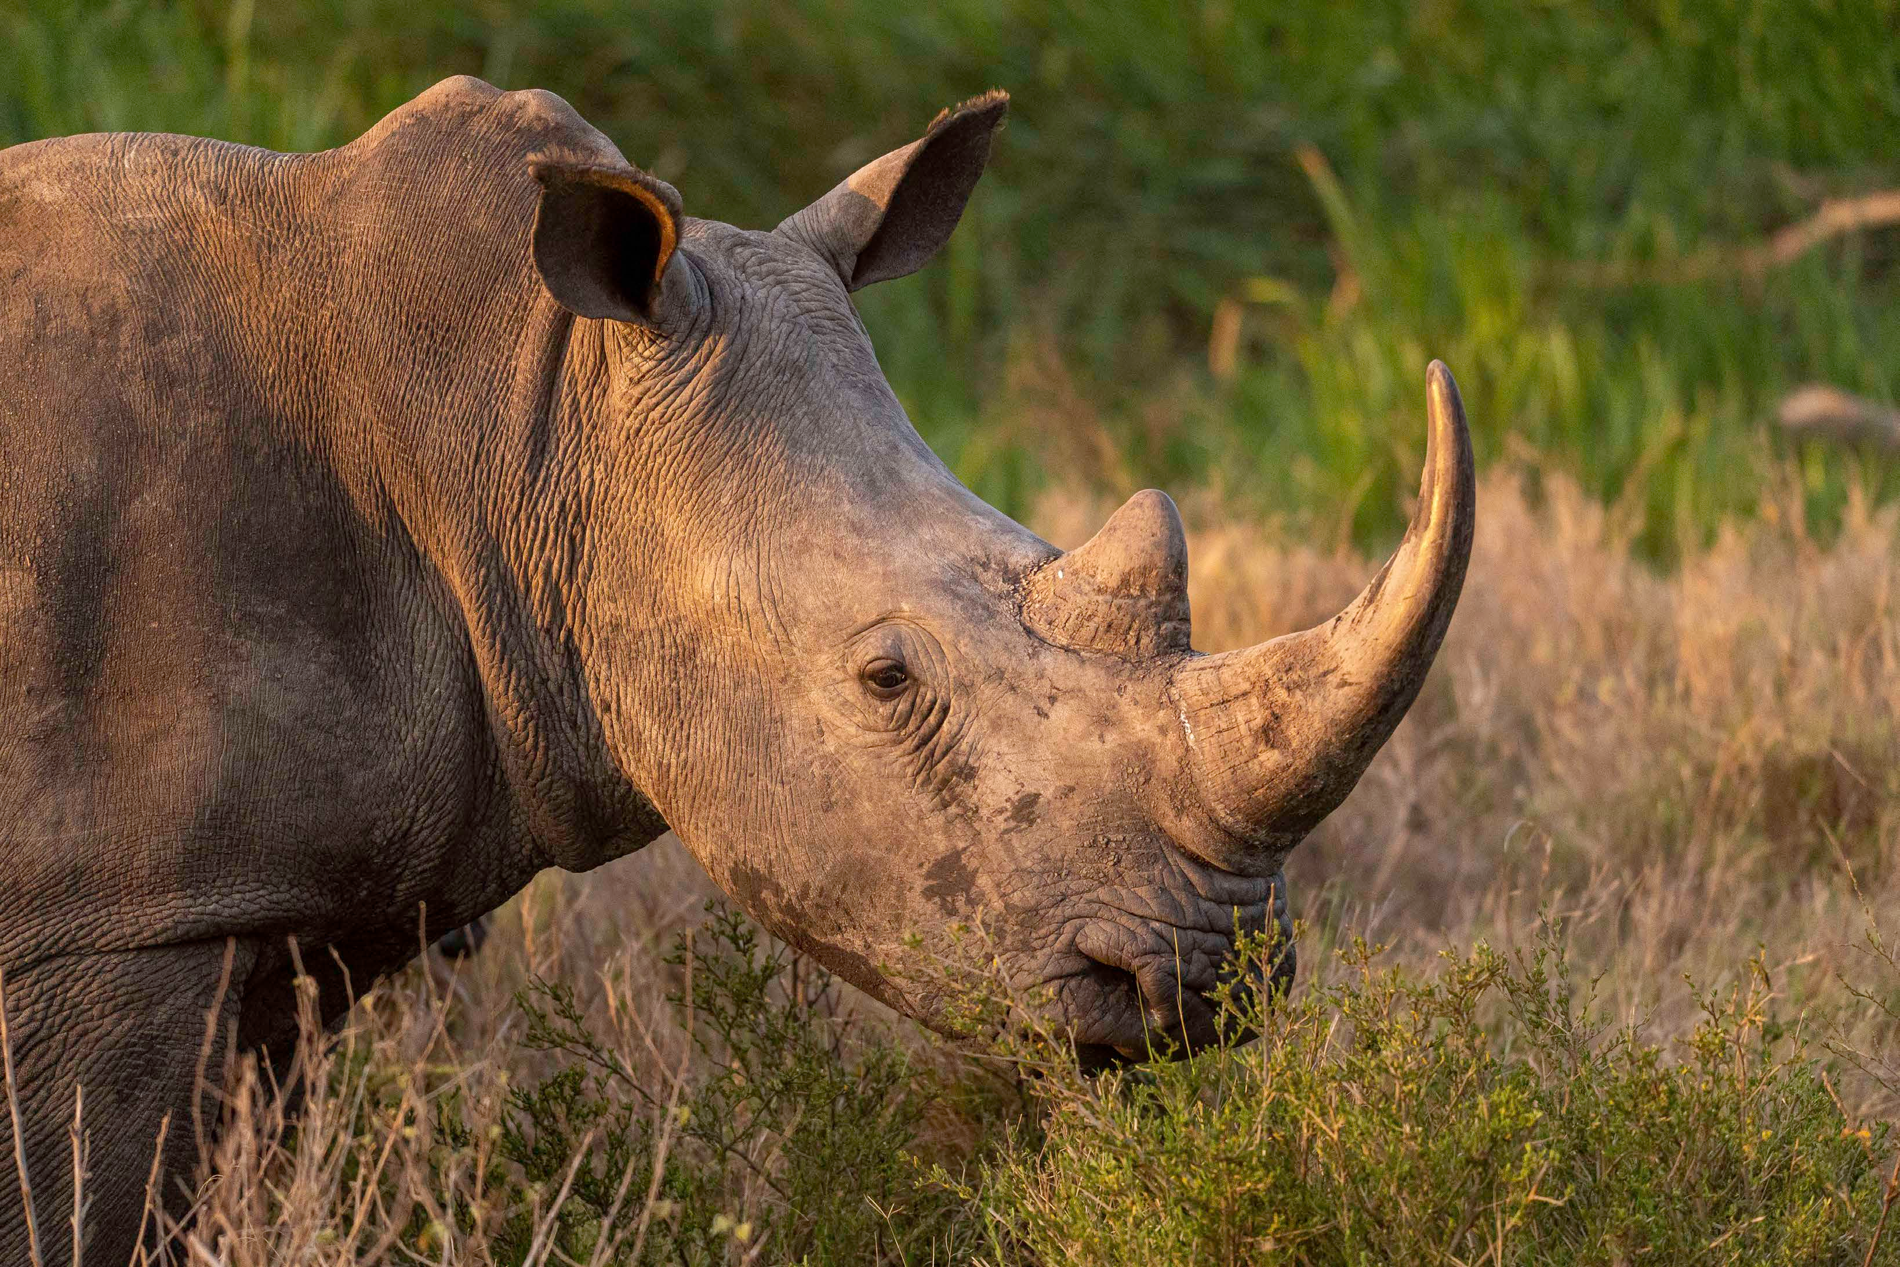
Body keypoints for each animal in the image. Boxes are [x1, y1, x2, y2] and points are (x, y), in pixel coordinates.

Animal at [0, 77, 1473, 1260]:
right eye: (887, 679)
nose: (1209, 980)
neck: (519, 408)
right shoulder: (116, 917)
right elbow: (78, 1206)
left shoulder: (281, 903)